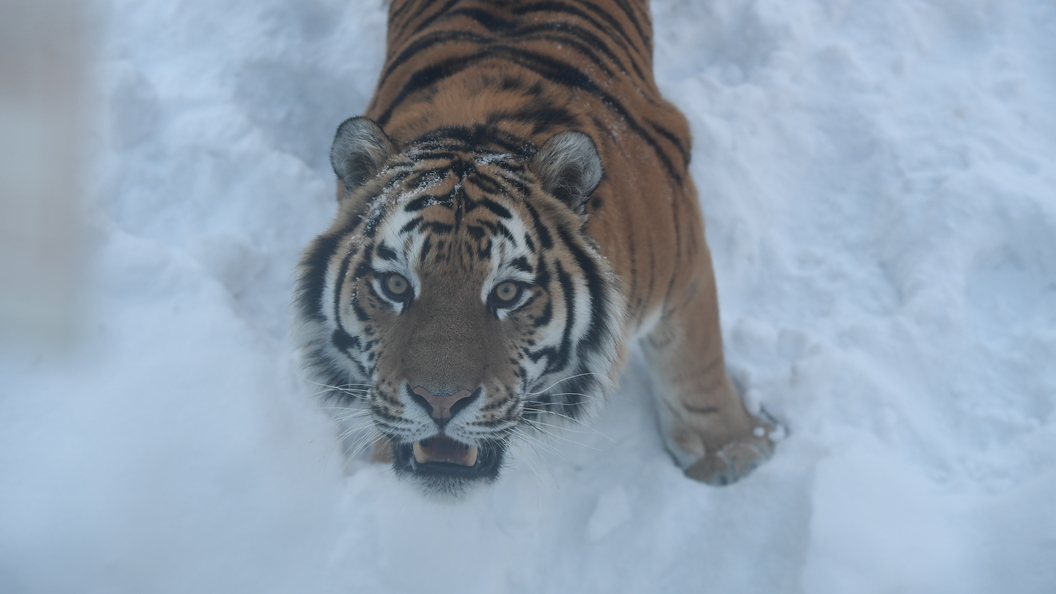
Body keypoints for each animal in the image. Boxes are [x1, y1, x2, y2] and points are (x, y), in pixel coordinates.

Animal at [291, 0, 777, 494]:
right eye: (394, 286)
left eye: (508, 292)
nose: (440, 402)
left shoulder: (685, 267)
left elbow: (696, 365)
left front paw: (731, 453)